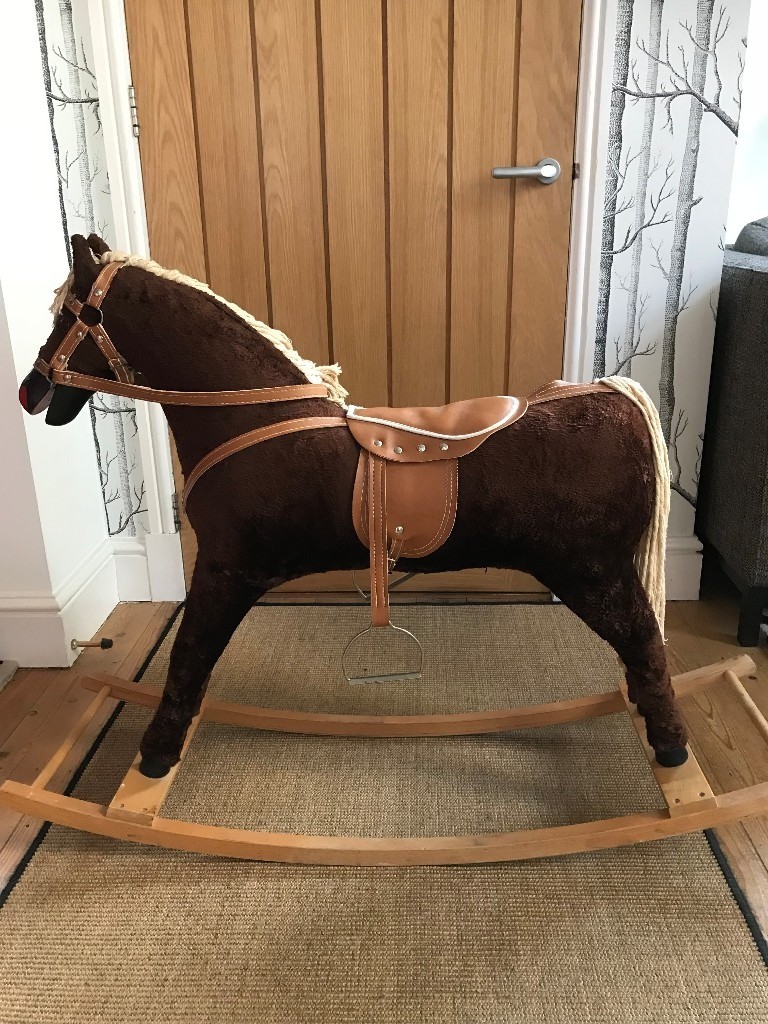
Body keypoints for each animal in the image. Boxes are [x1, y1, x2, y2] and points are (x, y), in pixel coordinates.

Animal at [19, 234, 688, 779]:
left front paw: (155, 756)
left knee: (647, 646)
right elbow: (192, 661)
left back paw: (672, 748)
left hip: (590, 572)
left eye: (71, 314)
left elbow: (187, 660)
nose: (30, 390)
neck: (252, 414)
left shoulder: (225, 571)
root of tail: (616, 397)